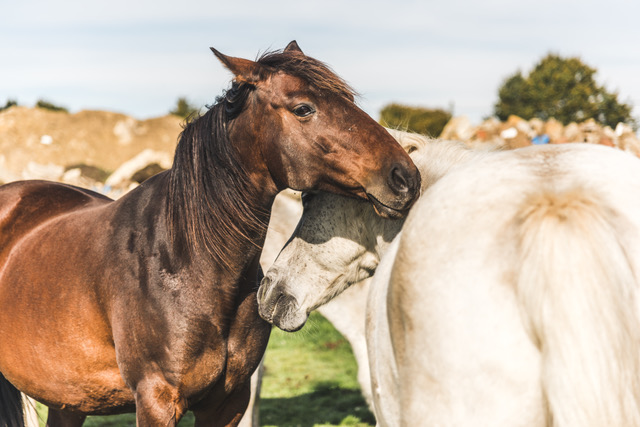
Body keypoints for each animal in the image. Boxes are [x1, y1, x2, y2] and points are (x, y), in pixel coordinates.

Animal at [0, 42, 420, 427]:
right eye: (304, 108)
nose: (406, 177)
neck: (183, 263)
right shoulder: (156, 401)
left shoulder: (228, 402)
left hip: (69, 398)